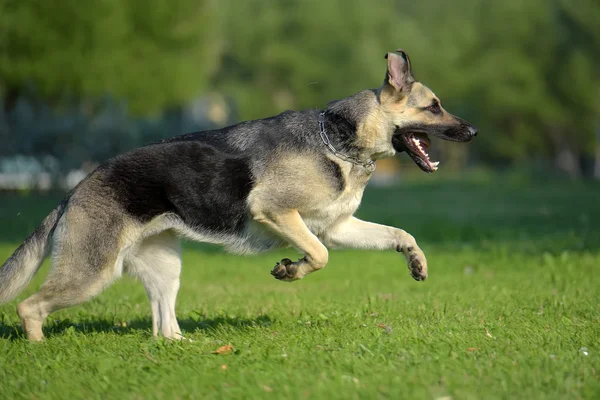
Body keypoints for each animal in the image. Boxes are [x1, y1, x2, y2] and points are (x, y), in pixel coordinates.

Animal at [0, 48, 478, 340]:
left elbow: (398, 234)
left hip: (164, 270)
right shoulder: (280, 214)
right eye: (434, 107)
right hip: (92, 275)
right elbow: (320, 255)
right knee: (29, 307)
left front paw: (416, 261)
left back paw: (184, 346)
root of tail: (73, 192)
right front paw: (291, 269)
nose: (473, 132)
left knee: (163, 326)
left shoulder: (338, 226)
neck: (337, 139)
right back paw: (39, 348)